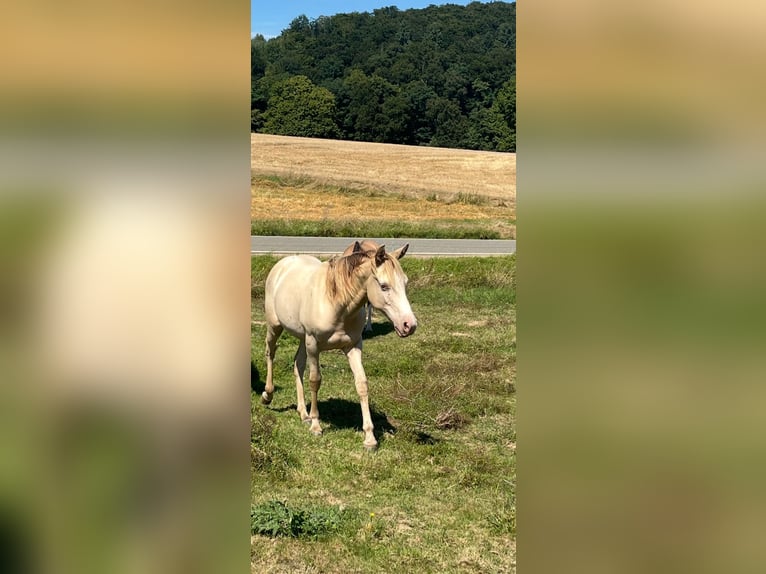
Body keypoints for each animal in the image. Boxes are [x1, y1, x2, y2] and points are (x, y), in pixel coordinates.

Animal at [262, 241, 417, 450]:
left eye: (405, 283)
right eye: (384, 286)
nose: (409, 325)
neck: (337, 303)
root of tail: (283, 264)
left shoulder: (353, 347)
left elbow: (362, 384)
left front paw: (369, 437)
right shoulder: (313, 345)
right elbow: (315, 381)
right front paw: (316, 425)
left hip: (302, 338)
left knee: (297, 365)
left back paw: (303, 412)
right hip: (275, 327)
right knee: (270, 352)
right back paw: (268, 395)